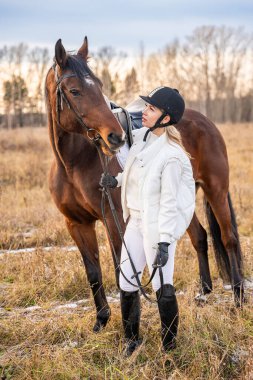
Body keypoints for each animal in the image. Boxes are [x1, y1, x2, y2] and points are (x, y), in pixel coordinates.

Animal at [45, 37, 243, 332]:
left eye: (100, 86)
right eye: (74, 90)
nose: (115, 137)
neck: (73, 163)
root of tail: (205, 121)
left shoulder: (114, 220)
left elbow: (122, 271)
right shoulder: (77, 224)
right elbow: (93, 273)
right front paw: (101, 320)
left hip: (215, 190)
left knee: (229, 238)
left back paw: (239, 298)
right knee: (199, 236)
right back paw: (203, 293)